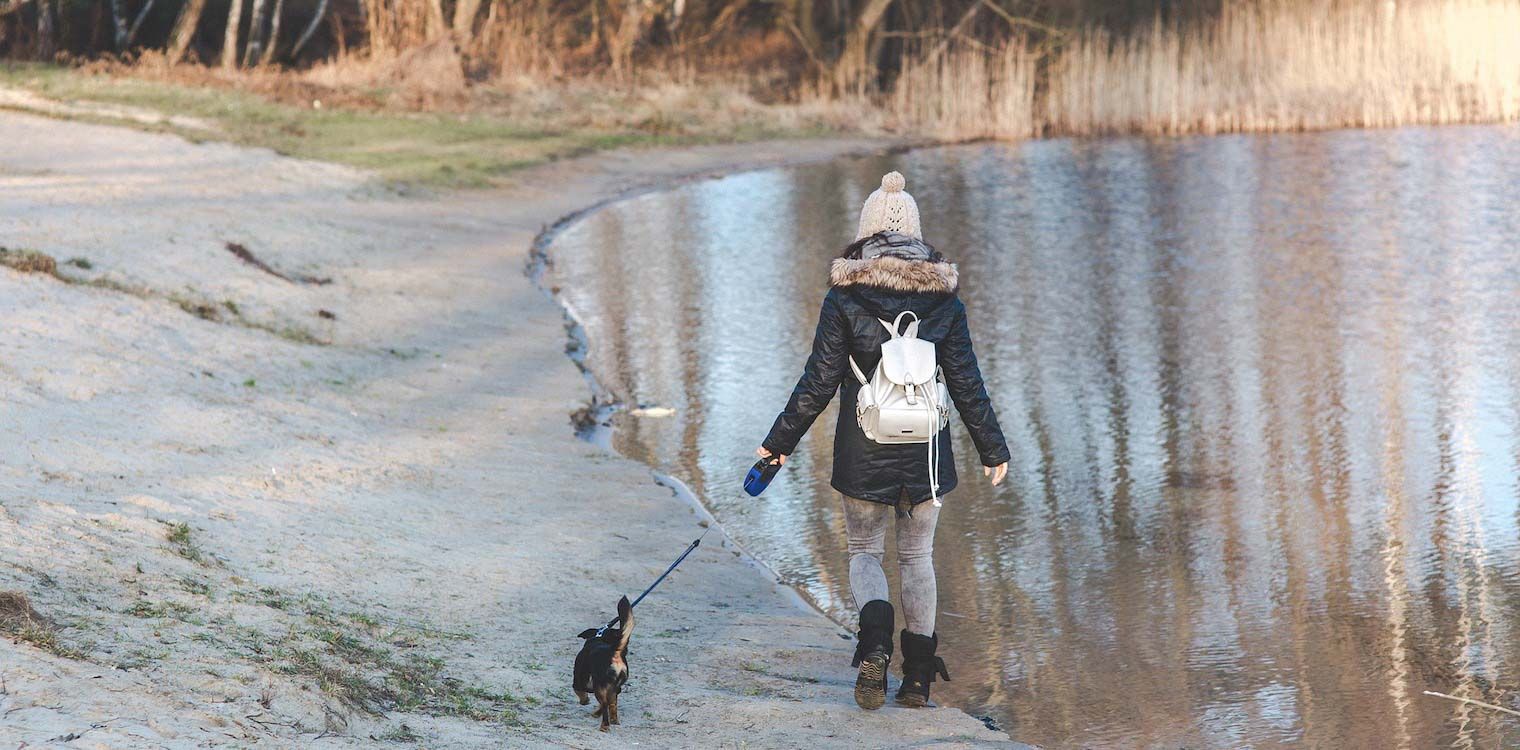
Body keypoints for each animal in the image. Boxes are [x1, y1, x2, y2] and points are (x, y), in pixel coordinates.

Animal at [574, 593, 635, 727]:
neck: (599, 637)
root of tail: (615, 652)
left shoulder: (579, 678)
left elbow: (579, 690)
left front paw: (584, 700)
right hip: (614, 686)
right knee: (611, 703)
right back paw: (612, 719)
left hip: (600, 686)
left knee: (605, 703)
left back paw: (604, 725)